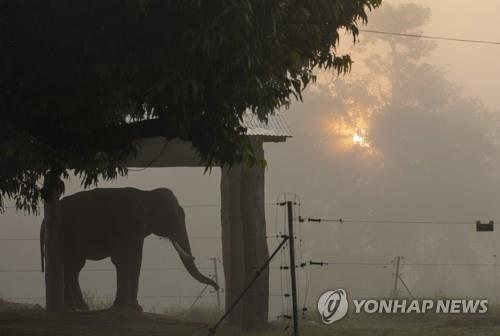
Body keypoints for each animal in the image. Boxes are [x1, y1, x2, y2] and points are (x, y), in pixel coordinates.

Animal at [40, 188, 217, 312]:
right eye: (172, 217)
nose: (217, 287)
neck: (146, 193)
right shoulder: (122, 225)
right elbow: (121, 260)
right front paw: (122, 307)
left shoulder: (137, 232)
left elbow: (136, 259)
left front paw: (136, 308)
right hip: (65, 235)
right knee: (69, 267)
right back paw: (74, 308)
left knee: (74, 269)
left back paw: (82, 308)